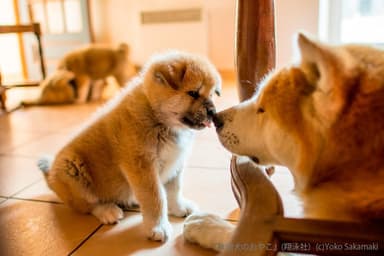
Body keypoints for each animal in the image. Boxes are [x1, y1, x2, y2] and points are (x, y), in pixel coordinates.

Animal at [38, 50, 222, 242]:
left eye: (212, 94)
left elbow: (174, 190)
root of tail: (50, 174)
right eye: (193, 93)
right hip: (72, 170)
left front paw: (178, 207)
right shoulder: (142, 166)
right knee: (89, 204)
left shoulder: (175, 161)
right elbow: (156, 198)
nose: (213, 113)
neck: (158, 117)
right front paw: (158, 227)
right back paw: (108, 210)